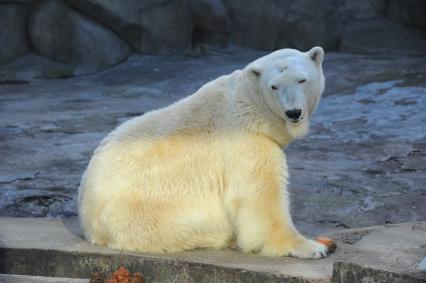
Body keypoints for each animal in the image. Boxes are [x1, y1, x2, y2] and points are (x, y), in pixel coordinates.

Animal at [78, 46, 328, 260]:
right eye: (274, 86)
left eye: (302, 79)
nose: (293, 112)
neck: (251, 106)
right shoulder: (246, 142)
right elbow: (261, 198)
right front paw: (313, 247)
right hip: (147, 214)